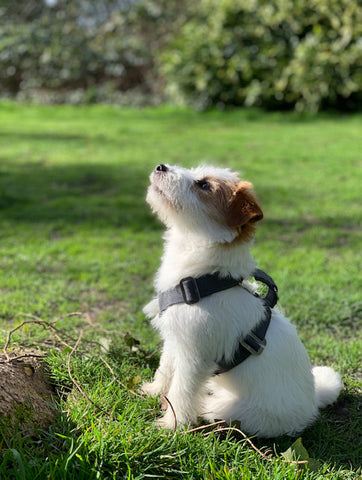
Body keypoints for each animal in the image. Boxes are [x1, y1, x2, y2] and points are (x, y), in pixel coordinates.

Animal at [141, 163, 342, 436]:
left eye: (204, 185)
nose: (161, 166)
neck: (207, 278)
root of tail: (312, 405)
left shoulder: (194, 356)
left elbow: (181, 390)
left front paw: (171, 424)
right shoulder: (176, 339)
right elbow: (165, 368)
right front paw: (154, 391)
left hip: (233, 410)